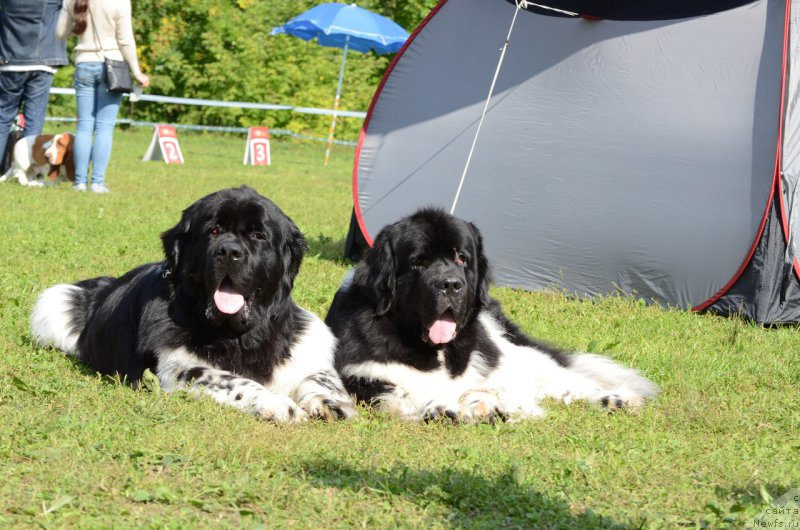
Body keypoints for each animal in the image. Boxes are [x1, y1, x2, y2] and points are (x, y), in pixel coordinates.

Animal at [32, 186, 354, 420]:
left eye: (258, 235)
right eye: (212, 231)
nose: (229, 251)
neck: (239, 335)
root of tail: (107, 285)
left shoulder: (306, 344)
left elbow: (320, 376)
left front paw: (330, 402)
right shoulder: (176, 367)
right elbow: (234, 381)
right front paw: (277, 403)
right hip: (55, 302)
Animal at [324, 207, 656, 420]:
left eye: (461, 258)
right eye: (418, 261)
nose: (451, 284)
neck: (437, 351)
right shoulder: (363, 376)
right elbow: (406, 393)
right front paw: (448, 406)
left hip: (517, 352)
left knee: (568, 380)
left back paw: (615, 398)